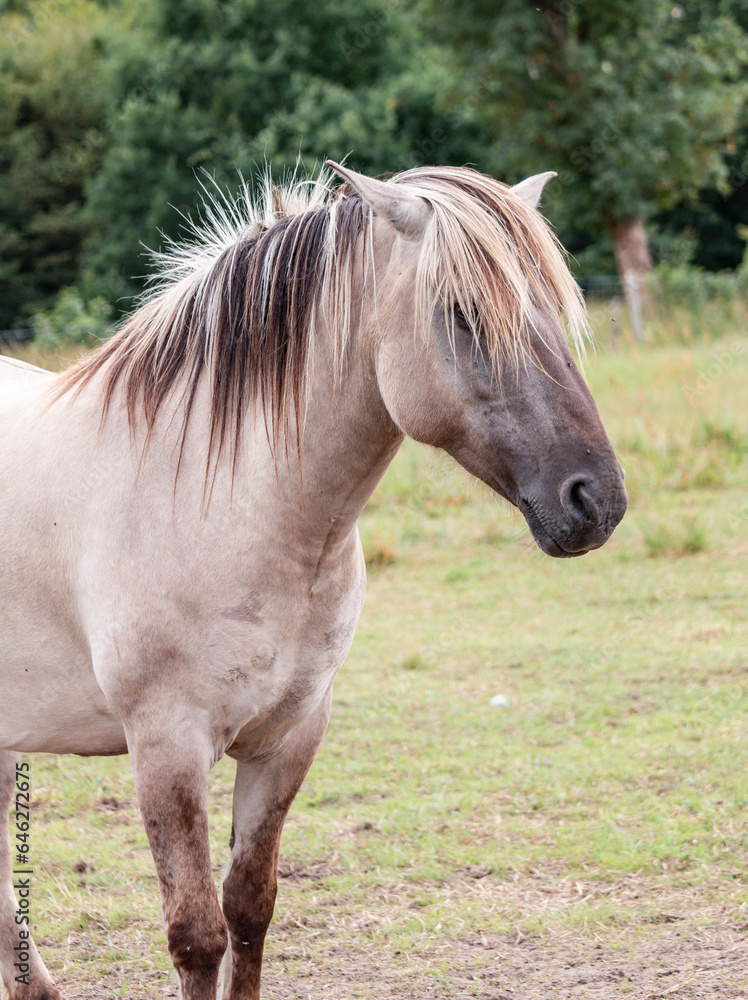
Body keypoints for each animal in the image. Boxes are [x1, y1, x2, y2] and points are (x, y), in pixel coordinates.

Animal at [0, 161, 627, 1000]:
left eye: (554, 311)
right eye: (461, 314)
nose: (596, 500)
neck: (225, 500)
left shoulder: (290, 735)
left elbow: (249, 907)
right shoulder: (167, 746)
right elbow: (196, 935)